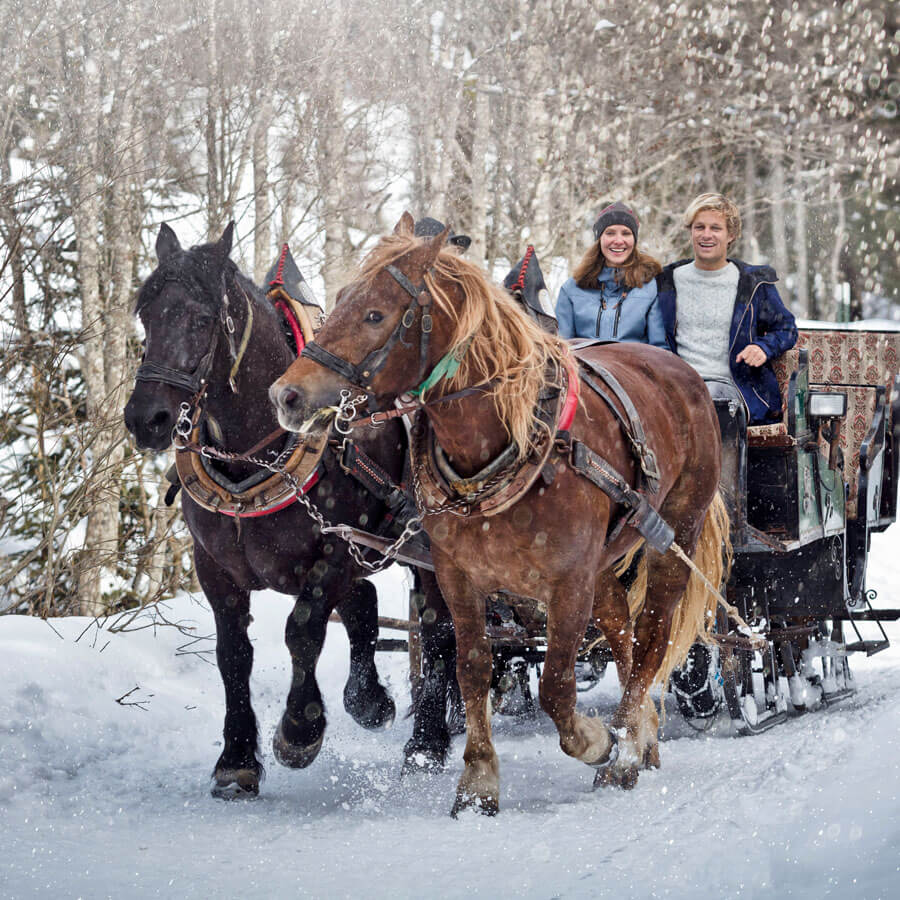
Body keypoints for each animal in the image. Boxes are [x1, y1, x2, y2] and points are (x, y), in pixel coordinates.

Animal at [123, 221, 458, 800]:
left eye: (202, 318)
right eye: (146, 314)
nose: (146, 419)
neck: (254, 451)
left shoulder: (337, 546)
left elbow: (302, 630)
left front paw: (300, 730)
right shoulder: (214, 568)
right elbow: (233, 653)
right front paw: (236, 760)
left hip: (426, 550)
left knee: (437, 631)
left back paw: (426, 745)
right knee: (365, 606)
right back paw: (371, 701)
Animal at [270, 216, 728, 816]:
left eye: (375, 314)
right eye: (340, 300)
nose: (286, 395)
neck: (510, 440)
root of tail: (682, 370)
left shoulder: (567, 582)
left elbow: (557, 685)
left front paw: (599, 741)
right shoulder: (459, 577)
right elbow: (472, 667)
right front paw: (478, 782)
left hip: (672, 537)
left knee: (651, 635)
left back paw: (627, 746)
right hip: (604, 564)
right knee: (622, 632)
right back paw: (645, 737)